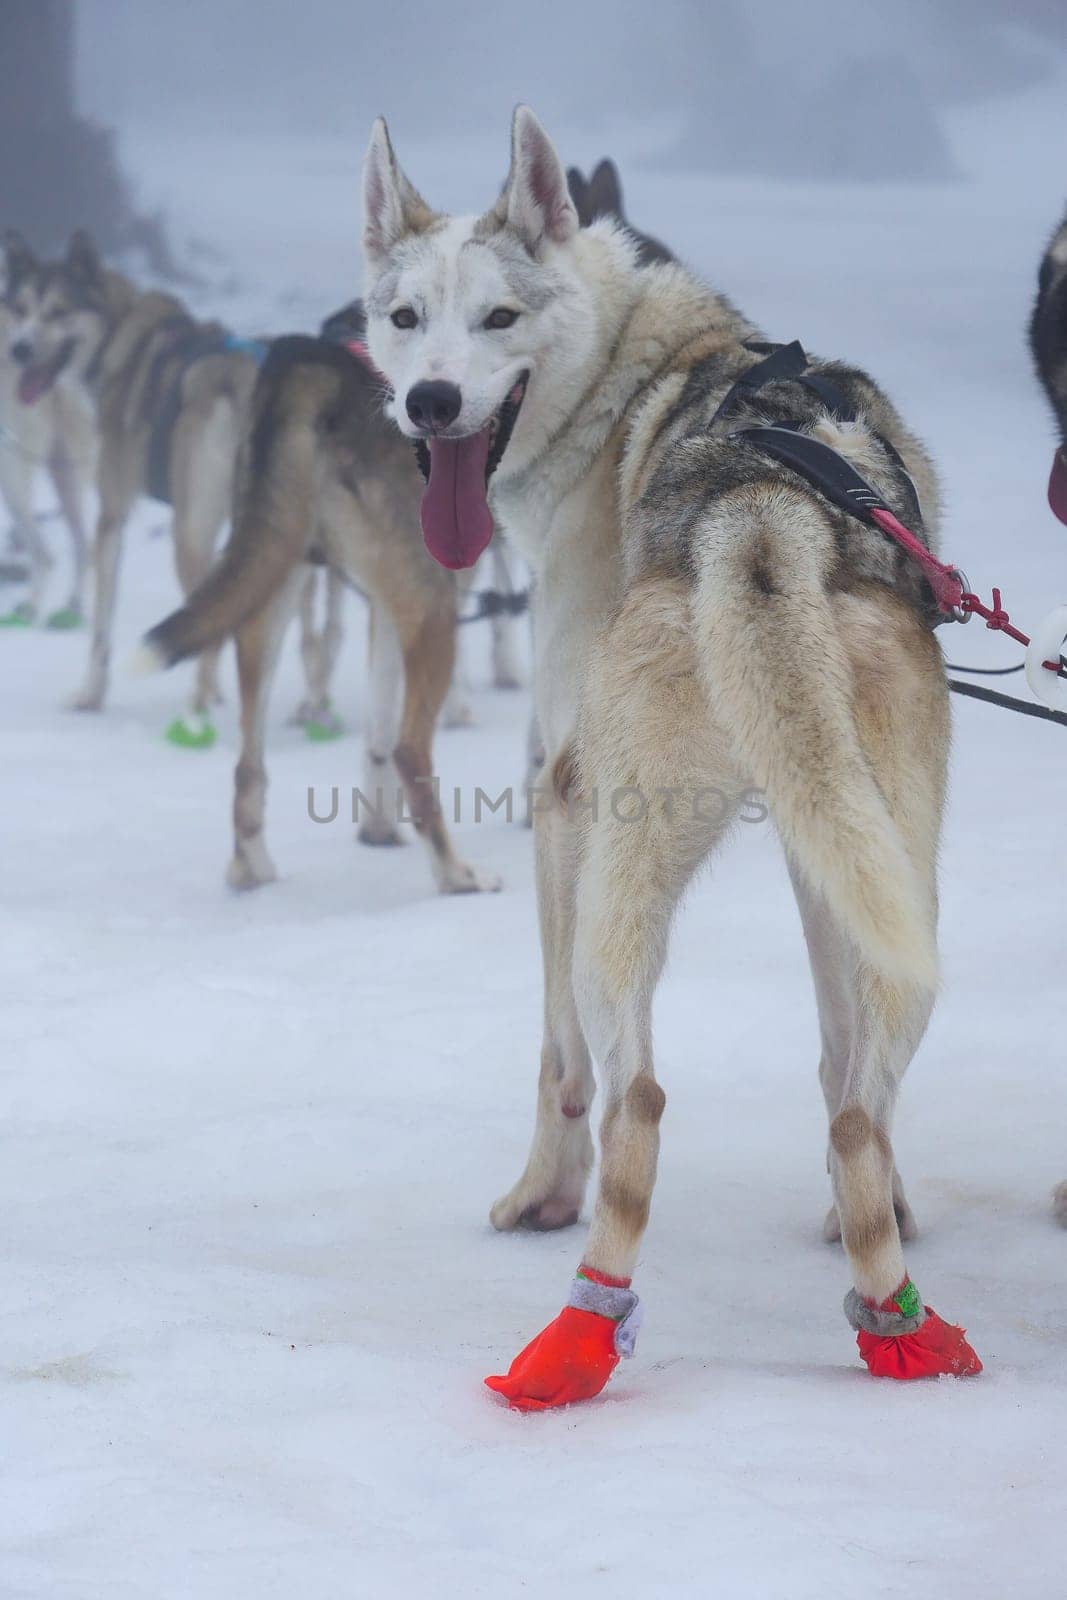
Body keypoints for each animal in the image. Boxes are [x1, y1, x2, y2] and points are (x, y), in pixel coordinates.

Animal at [358, 106, 979, 1408]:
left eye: (498, 318)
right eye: (404, 316)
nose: (430, 401)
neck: (627, 377)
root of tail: (761, 511)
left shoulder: (559, 802)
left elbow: (555, 1062)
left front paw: (537, 1193)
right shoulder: (818, 849)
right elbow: (832, 1056)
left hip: (619, 890)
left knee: (631, 1095)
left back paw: (574, 1337)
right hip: (900, 898)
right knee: (859, 1109)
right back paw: (889, 1309)